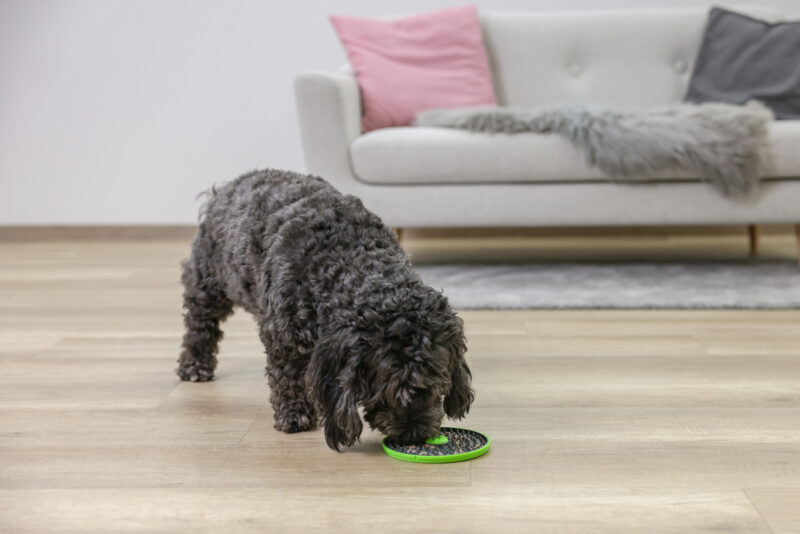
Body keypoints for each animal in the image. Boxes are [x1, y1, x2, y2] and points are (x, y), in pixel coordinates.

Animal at [178, 170, 472, 450]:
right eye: (387, 393)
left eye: (436, 387)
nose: (415, 434)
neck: (348, 260)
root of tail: (225, 187)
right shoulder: (281, 336)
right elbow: (286, 376)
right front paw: (294, 413)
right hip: (208, 284)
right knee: (199, 324)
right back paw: (194, 365)